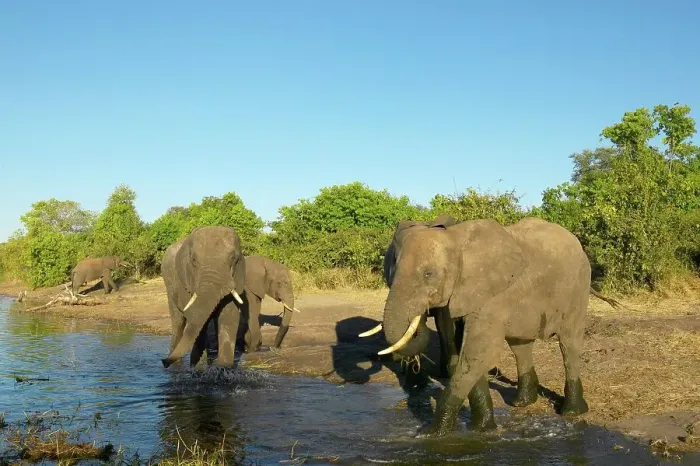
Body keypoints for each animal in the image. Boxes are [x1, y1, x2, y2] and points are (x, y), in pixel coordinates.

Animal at [160, 225, 246, 369]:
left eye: (233, 258)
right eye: (194, 261)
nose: (163, 362)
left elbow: (229, 316)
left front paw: (224, 369)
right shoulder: (186, 281)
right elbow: (195, 317)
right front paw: (195, 368)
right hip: (169, 284)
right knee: (178, 322)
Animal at [372, 216, 596, 437]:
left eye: (428, 274)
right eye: (392, 269)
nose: (423, 316)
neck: (455, 239)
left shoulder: (490, 296)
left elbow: (477, 352)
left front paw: (431, 433)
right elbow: (462, 353)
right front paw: (482, 429)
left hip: (578, 287)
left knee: (569, 344)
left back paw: (571, 411)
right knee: (519, 345)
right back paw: (522, 403)